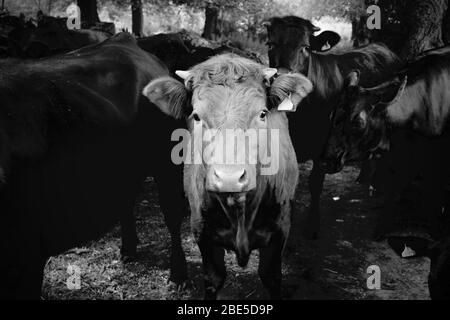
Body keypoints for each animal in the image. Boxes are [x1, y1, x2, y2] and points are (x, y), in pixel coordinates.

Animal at [264, 15, 400, 240]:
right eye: (270, 44)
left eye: (306, 47)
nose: (283, 79)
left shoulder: (325, 145)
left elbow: (315, 183)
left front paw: (312, 226)